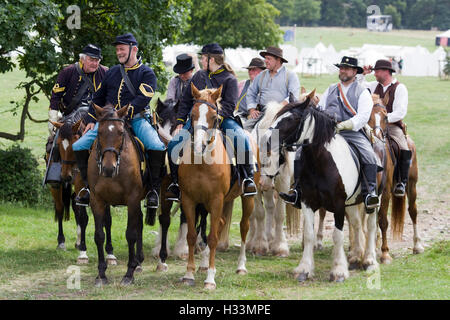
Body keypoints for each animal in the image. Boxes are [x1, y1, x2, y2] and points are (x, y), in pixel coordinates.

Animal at [87, 104, 145, 286]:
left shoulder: (132, 199)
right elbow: (99, 235)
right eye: (99, 132)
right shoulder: (97, 200)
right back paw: (139, 260)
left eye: (120, 132)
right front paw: (101, 274)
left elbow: (130, 234)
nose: (108, 168)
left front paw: (129, 273)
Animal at [178, 83, 258, 290]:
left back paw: (241, 266)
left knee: (244, 227)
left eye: (214, 117)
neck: (202, 164)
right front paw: (188, 274)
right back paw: (204, 264)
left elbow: (213, 238)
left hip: (247, 198)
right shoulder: (189, 200)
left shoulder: (216, 200)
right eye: (192, 114)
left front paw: (210, 280)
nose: (199, 146)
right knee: (220, 224)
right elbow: (192, 236)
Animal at [262, 93, 378, 282]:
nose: (266, 138)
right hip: (352, 203)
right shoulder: (307, 201)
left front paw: (338, 271)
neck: (320, 161)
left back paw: (369, 261)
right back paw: (355, 258)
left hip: (374, 201)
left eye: (292, 118)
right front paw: (304, 269)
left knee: (371, 226)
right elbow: (309, 235)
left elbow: (337, 235)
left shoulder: (338, 205)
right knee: (356, 224)